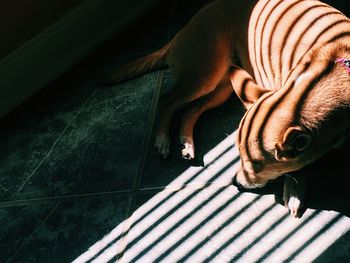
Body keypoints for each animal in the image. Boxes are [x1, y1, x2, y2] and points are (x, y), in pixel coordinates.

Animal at [108, 0, 350, 218]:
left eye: (257, 165)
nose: (235, 183)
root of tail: (184, 29)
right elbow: (298, 168)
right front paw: (294, 191)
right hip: (205, 75)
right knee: (167, 101)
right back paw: (163, 140)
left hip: (223, 86)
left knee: (190, 110)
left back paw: (187, 143)